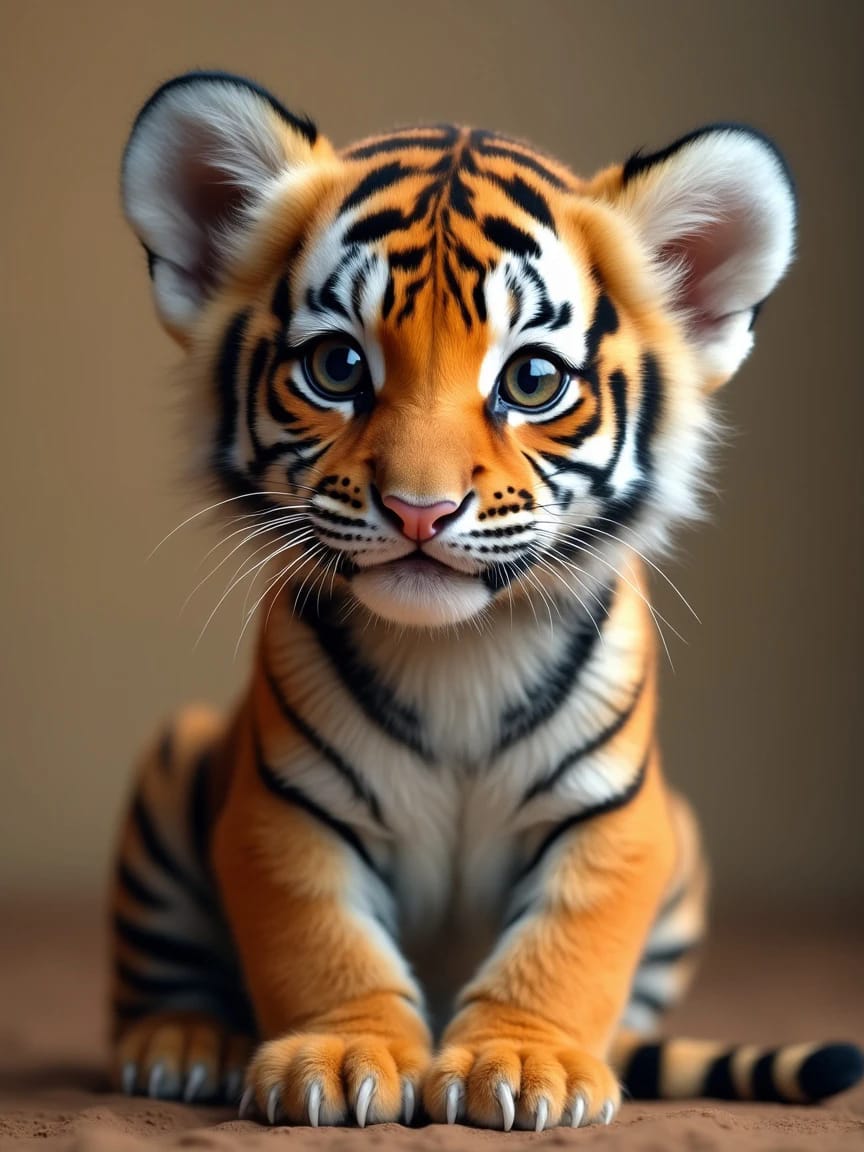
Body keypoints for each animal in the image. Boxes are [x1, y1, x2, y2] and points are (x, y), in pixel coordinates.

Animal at [110, 70, 863, 1130]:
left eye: (532, 380)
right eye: (338, 367)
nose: (419, 509)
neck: (456, 652)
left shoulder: (614, 816)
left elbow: (567, 950)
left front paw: (523, 1062)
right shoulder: (286, 807)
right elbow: (322, 942)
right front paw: (340, 1056)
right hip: (173, 768)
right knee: (160, 974)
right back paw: (179, 1046)